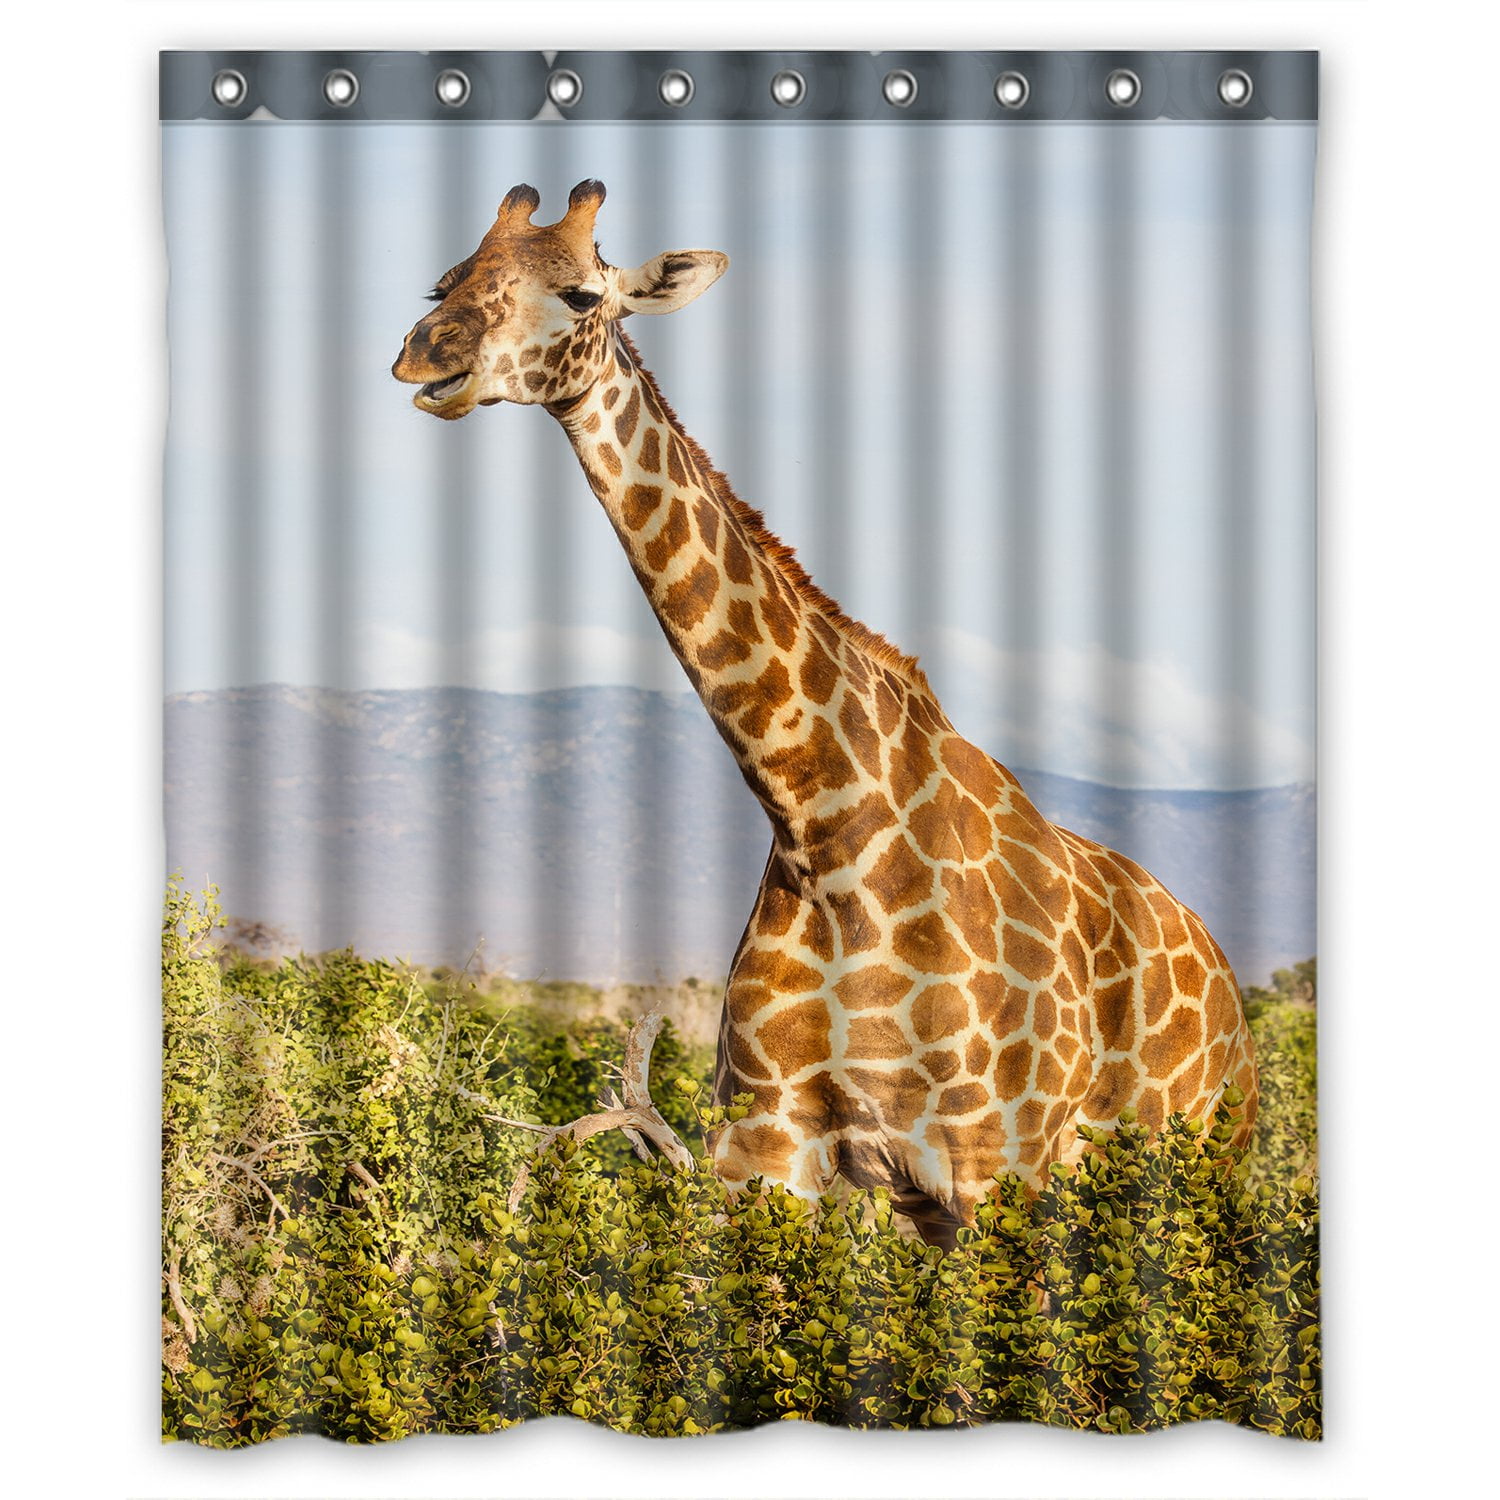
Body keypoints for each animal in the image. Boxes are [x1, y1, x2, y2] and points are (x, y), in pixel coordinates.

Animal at [392, 180, 1259, 1247]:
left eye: (583, 294)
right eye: (444, 282)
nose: (427, 354)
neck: (821, 823)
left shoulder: (993, 1167)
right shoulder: (767, 1156)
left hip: (1190, 1171)